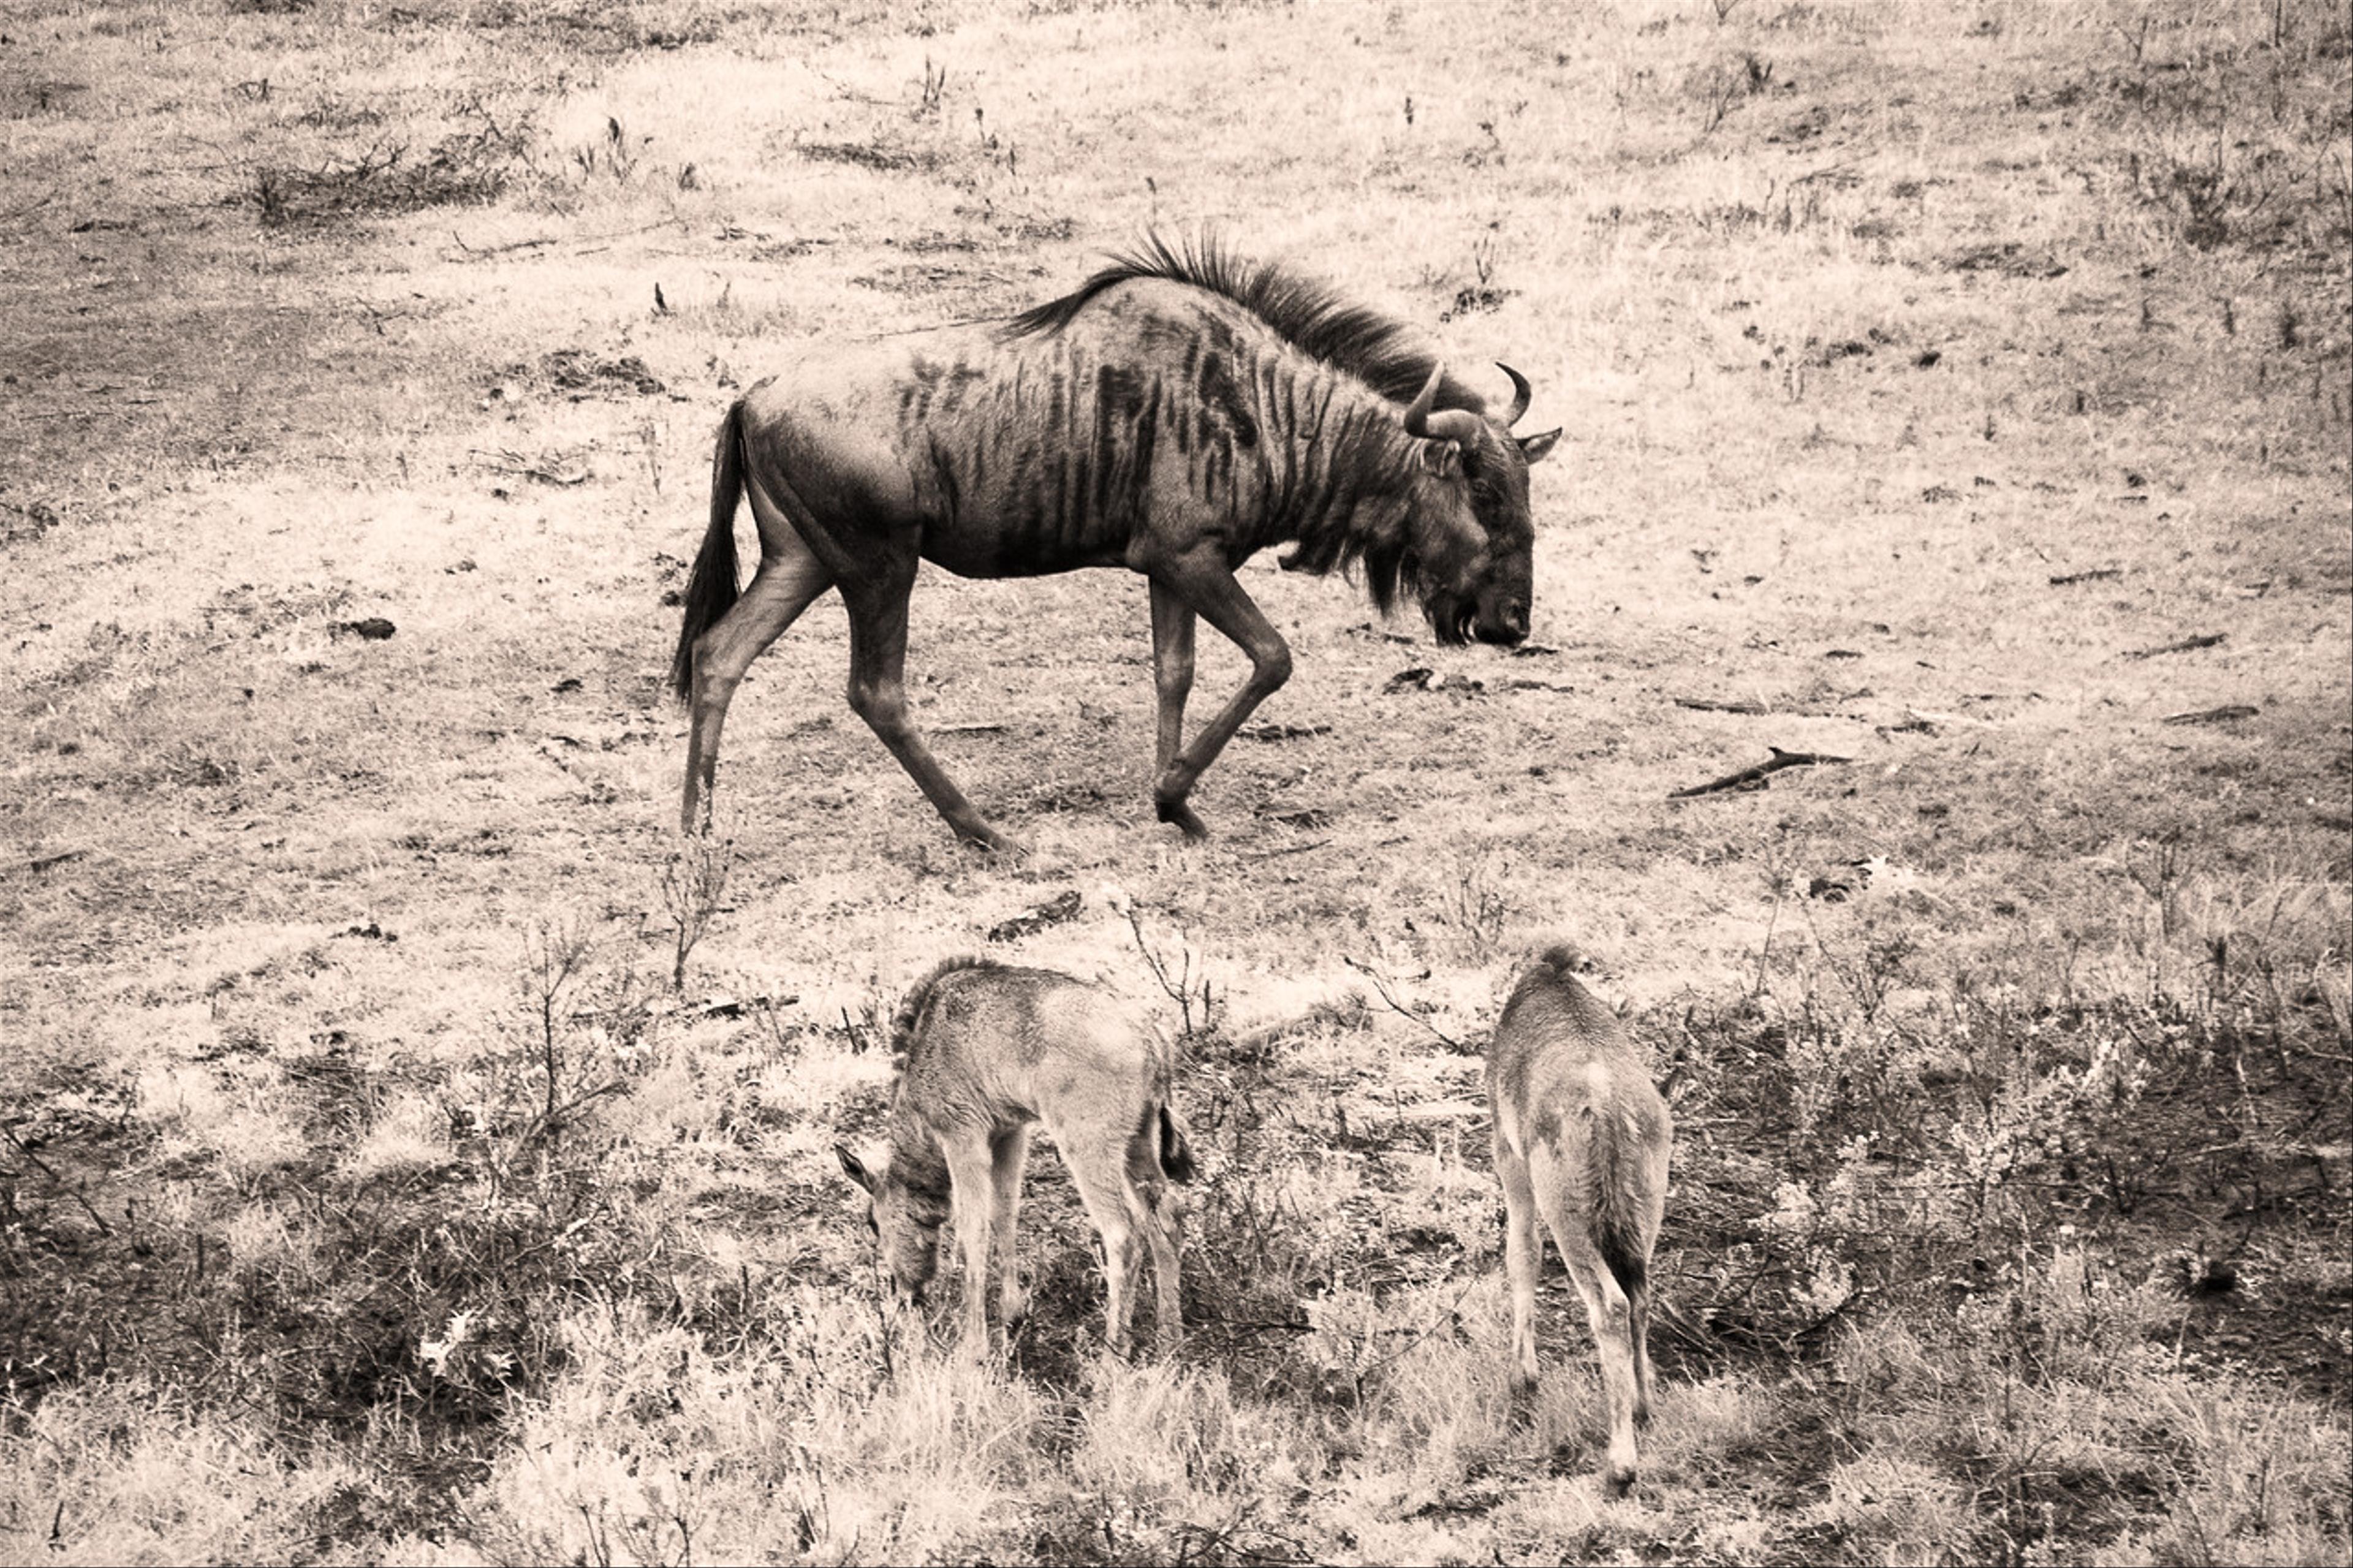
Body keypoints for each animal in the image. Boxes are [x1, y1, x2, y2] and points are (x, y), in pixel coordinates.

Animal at [838, 951, 1195, 1356]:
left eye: (873, 1222)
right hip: (1140, 1142)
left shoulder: (963, 1137)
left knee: (1123, 1232)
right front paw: (1012, 1313)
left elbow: (973, 1230)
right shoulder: (1010, 1133)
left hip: (1089, 1147)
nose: (904, 1292)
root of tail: (1153, 1040)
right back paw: (1170, 1339)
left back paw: (1114, 1354)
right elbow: (1005, 1214)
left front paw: (974, 1347)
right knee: (1166, 1217)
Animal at [1487, 941, 1675, 1488]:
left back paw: (1620, 1464)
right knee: (1640, 1296)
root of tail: (1611, 1112)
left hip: (1569, 1215)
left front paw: (1523, 1377)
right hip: (1643, 1211)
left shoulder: (1508, 1155)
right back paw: (1642, 1407)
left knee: (1610, 1305)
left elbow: (1522, 1253)